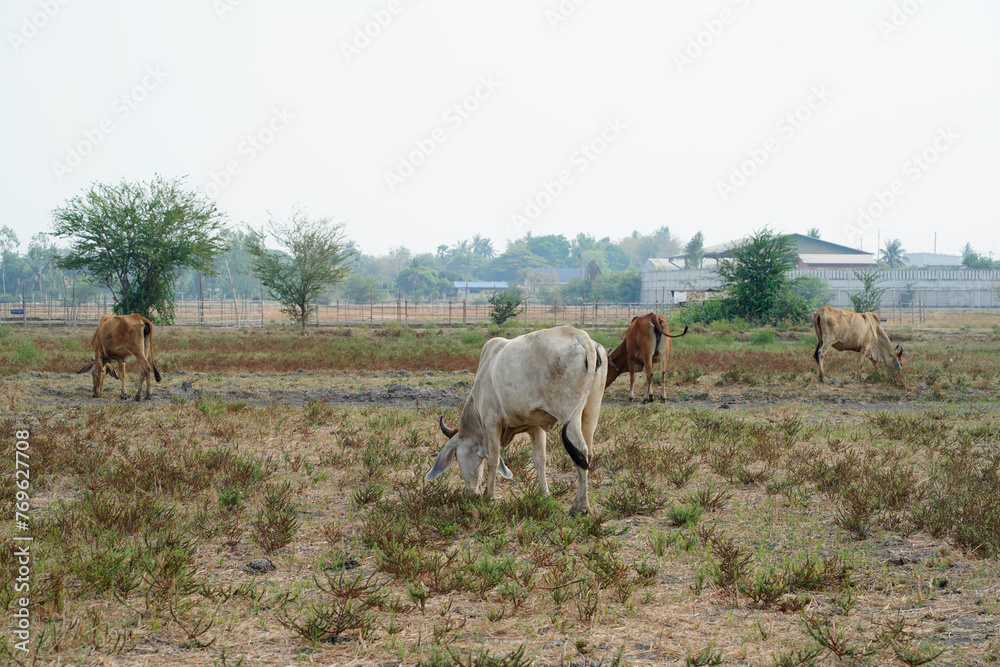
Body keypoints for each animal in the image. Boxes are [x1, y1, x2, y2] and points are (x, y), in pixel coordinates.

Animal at [426, 325, 606, 516]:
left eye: (457, 457)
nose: (471, 493)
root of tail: (579, 335)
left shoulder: (491, 423)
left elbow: (493, 459)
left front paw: (489, 496)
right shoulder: (536, 427)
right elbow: (540, 459)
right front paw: (544, 494)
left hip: (568, 413)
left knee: (580, 450)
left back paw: (582, 508)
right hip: (591, 410)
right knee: (587, 454)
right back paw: (577, 504)